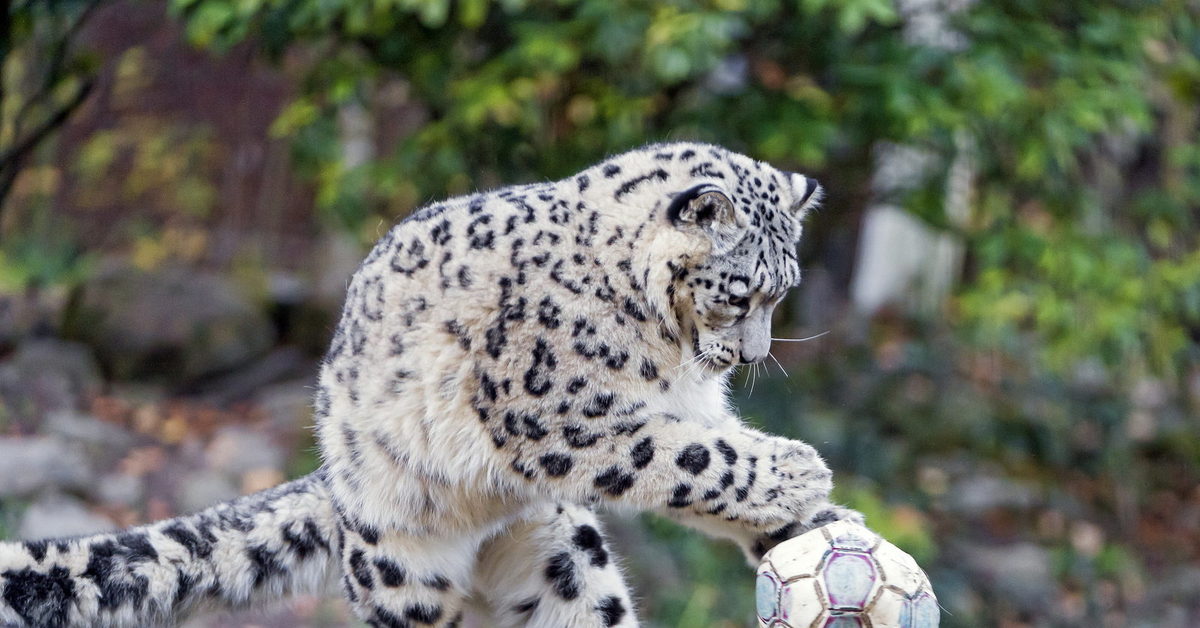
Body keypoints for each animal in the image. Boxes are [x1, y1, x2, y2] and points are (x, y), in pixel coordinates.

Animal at [0, 143, 864, 628]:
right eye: (741, 292)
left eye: (781, 292)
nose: (746, 355)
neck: (671, 352)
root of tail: (336, 484)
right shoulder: (558, 414)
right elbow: (690, 458)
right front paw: (800, 471)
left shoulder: (688, 408)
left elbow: (713, 455)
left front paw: (821, 522)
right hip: (404, 574)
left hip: (562, 554)